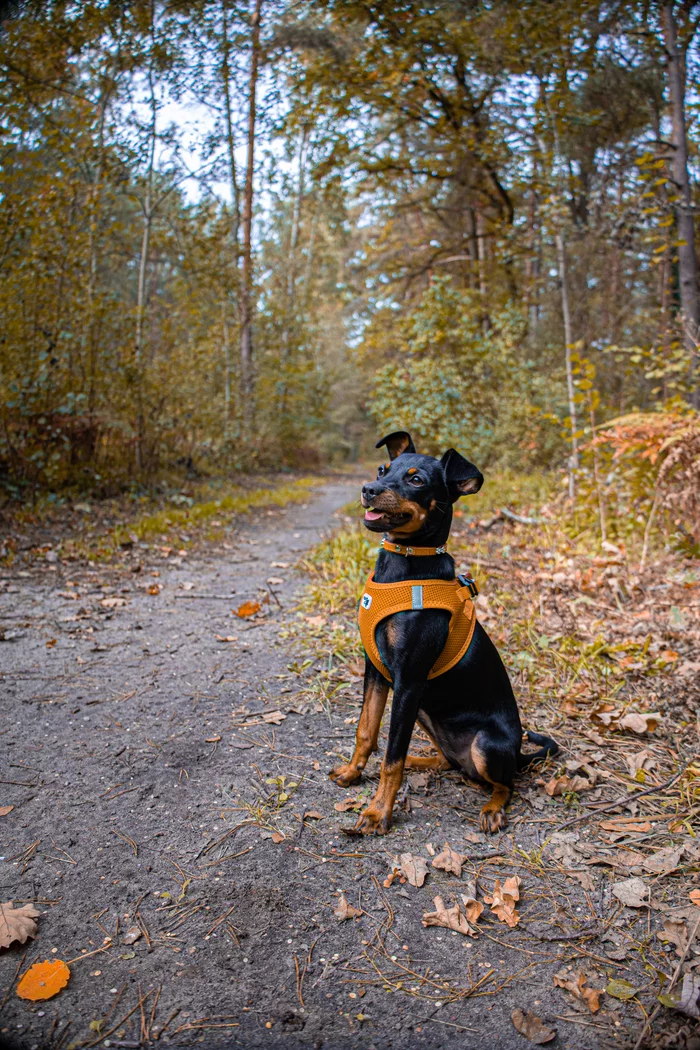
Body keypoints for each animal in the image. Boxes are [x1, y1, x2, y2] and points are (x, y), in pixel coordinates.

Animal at [333, 430, 558, 831]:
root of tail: (518, 754)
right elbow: (366, 731)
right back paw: (420, 762)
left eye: (417, 480)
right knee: (448, 761)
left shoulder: (409, 680)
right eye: (382, 469)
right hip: (425, 713)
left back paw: (492, 808)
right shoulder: (375, 670)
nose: (368, 489)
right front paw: (352, 773)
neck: (405, 566)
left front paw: (378, 812)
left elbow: (391, 756)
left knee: (506, 783)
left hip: (482, 742)